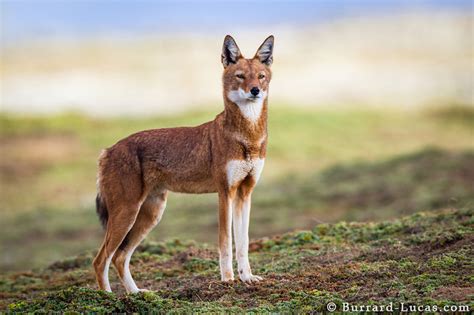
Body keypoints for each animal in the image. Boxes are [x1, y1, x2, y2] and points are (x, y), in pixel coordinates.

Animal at [92, 35, 274, 294]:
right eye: (240, 76)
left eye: (260, 76)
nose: (255, 90)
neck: (248, 137)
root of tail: (106, 151)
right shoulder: (225, 193)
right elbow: (225, 243)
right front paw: (228, 279)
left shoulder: (244, 194)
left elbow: (243, 243)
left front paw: (247, 277)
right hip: (126, 215)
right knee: (100, 261)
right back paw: (107, 298)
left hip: (149, 215)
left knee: (119, 257)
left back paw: (135, 295)